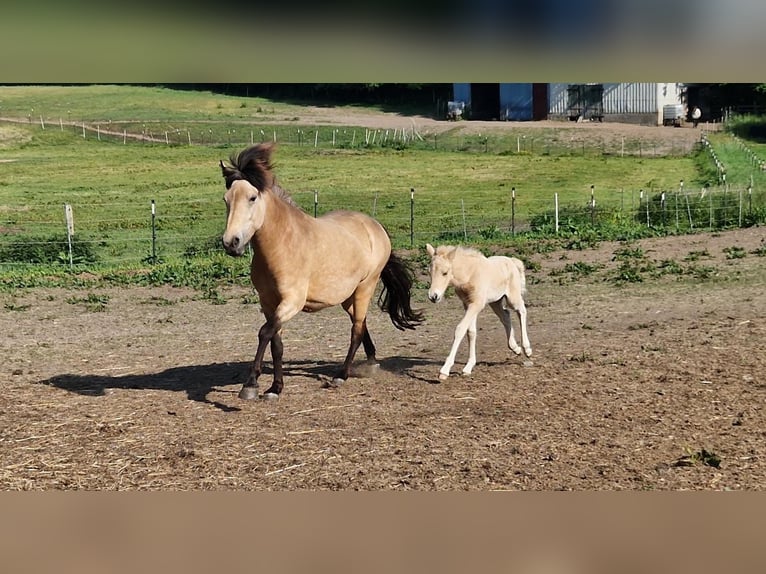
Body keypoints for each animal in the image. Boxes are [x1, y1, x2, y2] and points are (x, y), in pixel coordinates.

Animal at [426, 244, 536, 382]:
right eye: (429, 272)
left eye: (445, 272)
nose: (433, 296)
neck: (469, 274)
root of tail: (512, 261)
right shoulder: (468, 304)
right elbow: (471, 332)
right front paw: (468, 367)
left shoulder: (476, 304)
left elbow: (460, 329)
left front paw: (444, 370)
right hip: (495, 302)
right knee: (505, 315)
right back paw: (515, 348)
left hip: (512, 298)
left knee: (521, 311)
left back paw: (527, 349)